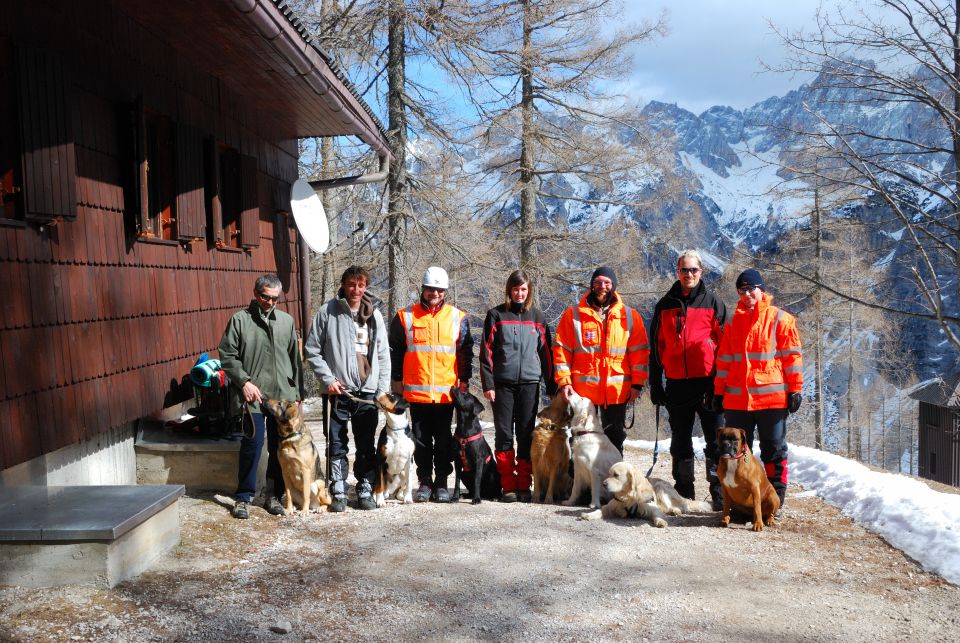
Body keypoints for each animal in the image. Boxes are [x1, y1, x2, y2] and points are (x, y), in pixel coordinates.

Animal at [576, 462, 712, 528]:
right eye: (609, 474)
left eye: (616, 475)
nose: (604, 484)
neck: (628, 497)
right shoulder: (611, 506)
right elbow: (599, 510)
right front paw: (588, 515)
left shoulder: (652, 507)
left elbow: (657, 515)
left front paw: (661, 522)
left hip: (661, 487)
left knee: (682, 507)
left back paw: (675, 510)